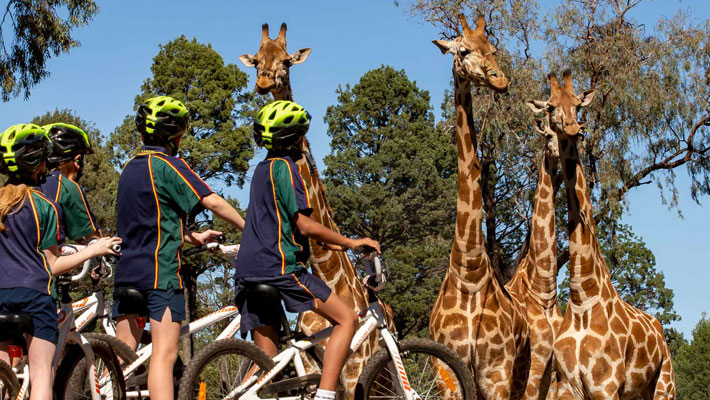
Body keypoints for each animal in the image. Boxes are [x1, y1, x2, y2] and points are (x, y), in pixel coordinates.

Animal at [241, 23, 394, 398]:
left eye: (286, 61)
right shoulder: (310, 369)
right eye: (257, 61)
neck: (326, 278)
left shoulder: (354, 372)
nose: (264, 83)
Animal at [428, 14, 536, 398]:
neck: (470, 271)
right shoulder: (446, 372)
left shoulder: (497, 372)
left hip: (521, 374)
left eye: (492, 48)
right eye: (463, 50)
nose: (499, 79)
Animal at [528, 70, 680, 398]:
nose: (574, 129)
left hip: (664, 383)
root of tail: (659, 330)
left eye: (577, 104)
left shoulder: (605, 385)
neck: (583, 296)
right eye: (550, 106)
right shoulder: (570, 385)